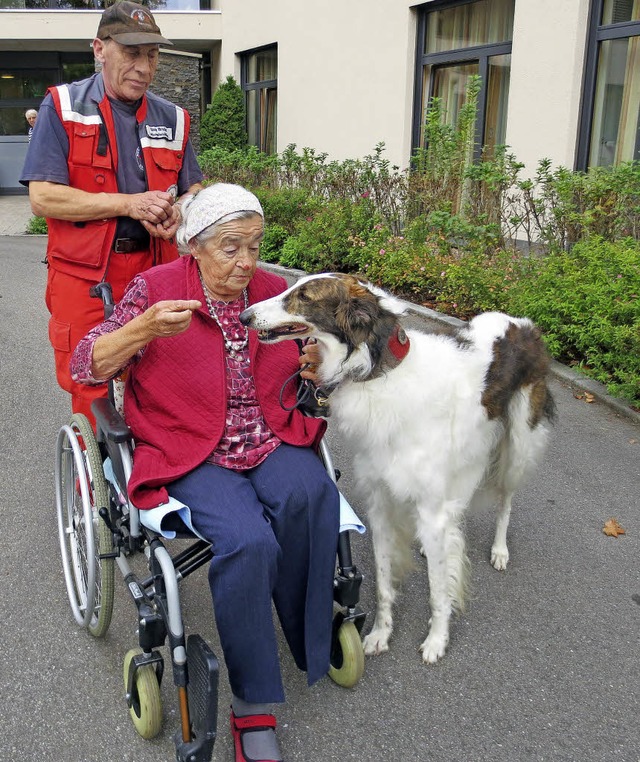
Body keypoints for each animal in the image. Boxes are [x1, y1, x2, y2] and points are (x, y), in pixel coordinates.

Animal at [240, 272, 556, 660]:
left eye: (304, 297)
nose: (244, 316)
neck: (380, 373)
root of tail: (522, 323)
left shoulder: (431, 504)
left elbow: (438, 591)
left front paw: (437, 640)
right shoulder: (381, 501)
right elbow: (383, 580)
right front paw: (379, 634)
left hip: (518, 446)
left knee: (506, 500)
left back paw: (499, 550)